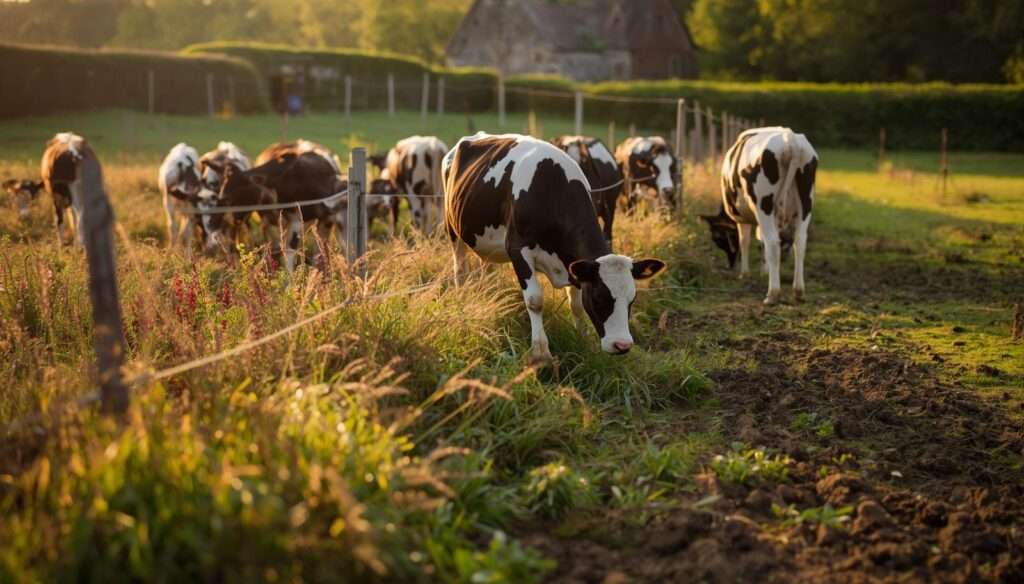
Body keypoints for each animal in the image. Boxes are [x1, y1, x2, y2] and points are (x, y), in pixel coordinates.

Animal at [196, 151, 347, 271]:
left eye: (241, 185)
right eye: (222, 185)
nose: (213, 220)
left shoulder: (301, 220)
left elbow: (292, 252)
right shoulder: (267, 223)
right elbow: (271, 249)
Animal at [443, 132, 667, 365]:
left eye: (632, 299)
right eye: (599, 298)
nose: (622, 345)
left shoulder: (574, 263)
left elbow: (576, 305)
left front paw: (582, 340)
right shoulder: (518, 249)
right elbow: (535, 301)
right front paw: (541, 353)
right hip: (452, 227)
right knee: (459, 269)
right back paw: (461, 305)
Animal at [702, 127, 818, 305]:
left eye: (718, 238)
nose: (730, 265)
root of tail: (789, 139)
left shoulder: (742, 219)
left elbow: (745, 241)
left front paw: (745, 273)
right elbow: (761, 242)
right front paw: (765, 271)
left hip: (764, 205)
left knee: (773, 243)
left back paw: (772, 294)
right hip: (806, 202)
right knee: (800, 241)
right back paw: (798, 292)